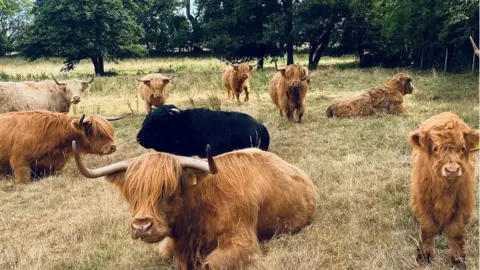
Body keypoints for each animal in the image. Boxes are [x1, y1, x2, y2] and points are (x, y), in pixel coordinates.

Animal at [71, 141, 316, 270]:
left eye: (167, 191)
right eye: (133, 192)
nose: (141, 226)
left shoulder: (243, 242)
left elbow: (210, 264)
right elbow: (163, 253)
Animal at [408, 112, 480, 268]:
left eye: (463, 148)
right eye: (435, 148)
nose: (452, 170)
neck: (445, 190)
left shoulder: (462, 204)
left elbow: (455, 231)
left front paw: (458, 260)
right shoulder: (423, 203)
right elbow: (428, 229)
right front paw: (424, 256)